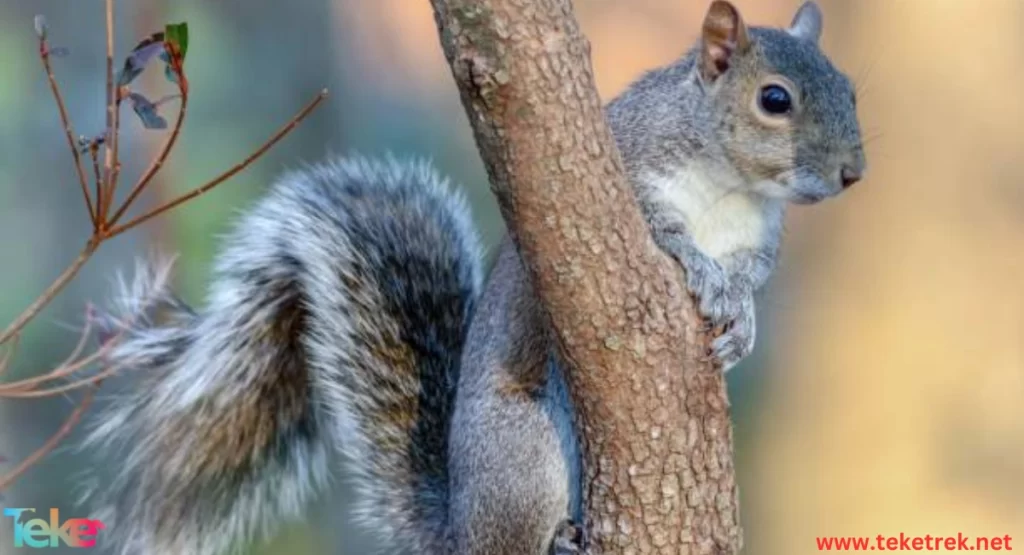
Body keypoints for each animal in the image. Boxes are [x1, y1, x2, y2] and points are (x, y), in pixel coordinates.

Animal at [79, 2, 864, 552]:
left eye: (852, 91)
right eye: (774, 100)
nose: (853, 174)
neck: (733, 186)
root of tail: (459, 530)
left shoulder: (759, 238)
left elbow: (751, 276)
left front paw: (743, 319)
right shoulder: (634, 175)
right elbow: (665, 233)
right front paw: (699, 269)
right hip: (524, 454)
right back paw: (559, 540)